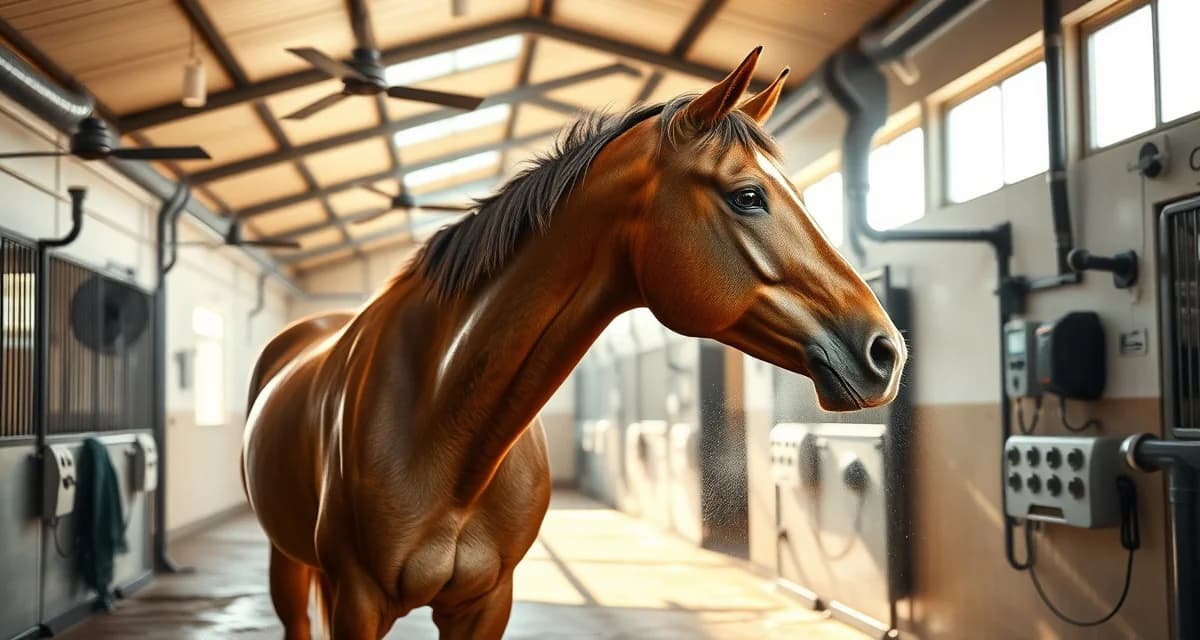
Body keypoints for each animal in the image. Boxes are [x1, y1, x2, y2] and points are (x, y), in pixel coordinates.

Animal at [241, 47, 907, 640]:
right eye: (748, 196)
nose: (886, 352)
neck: (441, 425)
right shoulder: (353, 601)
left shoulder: (486, 605)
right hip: (287, 565)